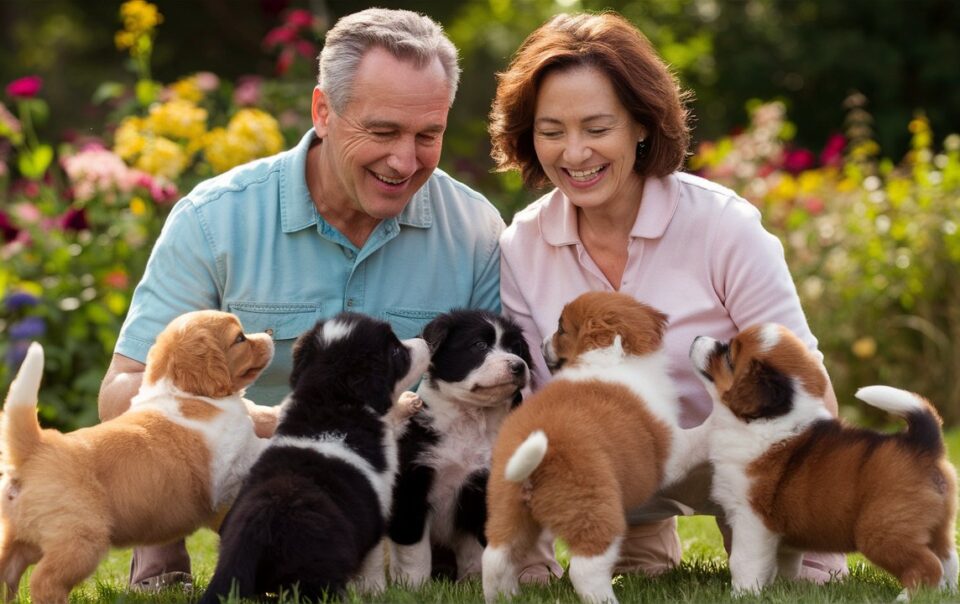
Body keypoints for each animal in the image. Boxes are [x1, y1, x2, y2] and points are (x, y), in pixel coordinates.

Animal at [0, 312, 278, 604]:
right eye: (240, 338)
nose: (268, 336)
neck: (183, 391)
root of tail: (36, 448)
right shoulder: (238, 451)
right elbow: (260, 445)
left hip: (20, 539)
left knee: (7, 571)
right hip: (81, 539)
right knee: (44, 580)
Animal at [201, 312, 430, 604]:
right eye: (396, 351)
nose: (425, 339)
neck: (328, 397)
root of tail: (256, 531)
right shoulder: (376, 511)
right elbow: (373, 564)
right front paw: (376, 592)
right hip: (315, 574)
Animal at [386, 310, 532, 584]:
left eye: (515, 348)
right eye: (479, 345)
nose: (518, 365)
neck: (470, 420)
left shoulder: (481, 487)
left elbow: (477, 548)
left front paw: (474, 582)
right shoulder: (412, 486)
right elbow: (414, 549)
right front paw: (413, 585)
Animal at [484, 292, 708, 604]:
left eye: (561, 329)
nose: (540, 344)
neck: (609, 358)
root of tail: (534, 461)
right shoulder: (671, 451)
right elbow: (698, 436)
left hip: (508, 509)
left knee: (496, 558)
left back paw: (506, 596)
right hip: (595, 509)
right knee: (585, 568)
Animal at [692, 324, 956, 596]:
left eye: (728, 355)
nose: (697, 338)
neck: (767, 419)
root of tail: (923, 444)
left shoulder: (751, 519)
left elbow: (744, 562)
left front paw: (743, 594)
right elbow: (783, 562)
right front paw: (782, 587)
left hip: (882, 531)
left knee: (928, 566)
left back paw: (906, 597)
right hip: (939, 529)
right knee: (948, 560)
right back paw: (945, 594)